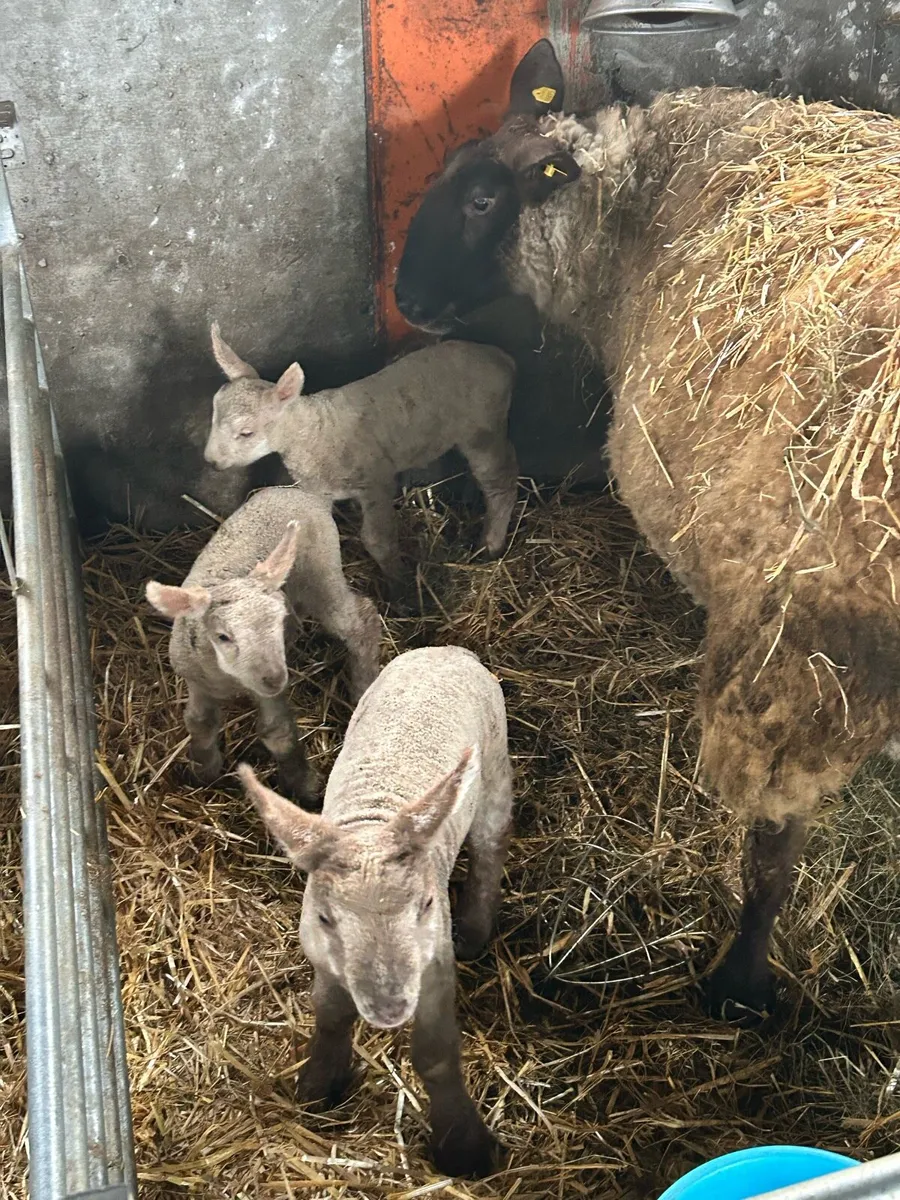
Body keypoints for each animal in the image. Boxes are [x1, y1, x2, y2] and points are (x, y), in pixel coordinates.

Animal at [146, 486, 381, 806]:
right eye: (223, 636)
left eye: (276, 621)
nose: (274, 677)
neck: (228, 679)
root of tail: (306, 492)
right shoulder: (196, 679)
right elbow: (199, 721)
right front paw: (204, 772)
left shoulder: (268, 692)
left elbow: (277, 732)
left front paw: (304, 787)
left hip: (322, 572)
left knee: (360, 620)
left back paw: (363, 685)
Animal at [202, 326, 519, 604]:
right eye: (213, 415)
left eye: (246, 433)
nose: (211, 461)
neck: (313, 432)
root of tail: (500, 357)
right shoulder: (319, 491)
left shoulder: (375, 482)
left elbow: (377, 540)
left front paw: (400, 589)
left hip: (482, 430)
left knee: (501, 484)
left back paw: (490, 545)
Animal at [238, 645, 513, 1178]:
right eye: (326, 918)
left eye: (427, 903)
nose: (388, 1008)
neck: (371, 824)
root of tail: (447, 651)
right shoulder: (324, 956)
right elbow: (329, 1014)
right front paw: (319, 1084)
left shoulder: (433, 960)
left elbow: (436, 1054)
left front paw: (463, 1147)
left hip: (494, 763)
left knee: (491, 842)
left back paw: (475, 928)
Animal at [394, 39, 900, 1021]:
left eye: (482, 201)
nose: (406, 295)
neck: (639, 212)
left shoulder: (784, 644)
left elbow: (773, 851)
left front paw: (741, 983)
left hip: (807, 658)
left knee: (773, 843)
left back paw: (738, 982)